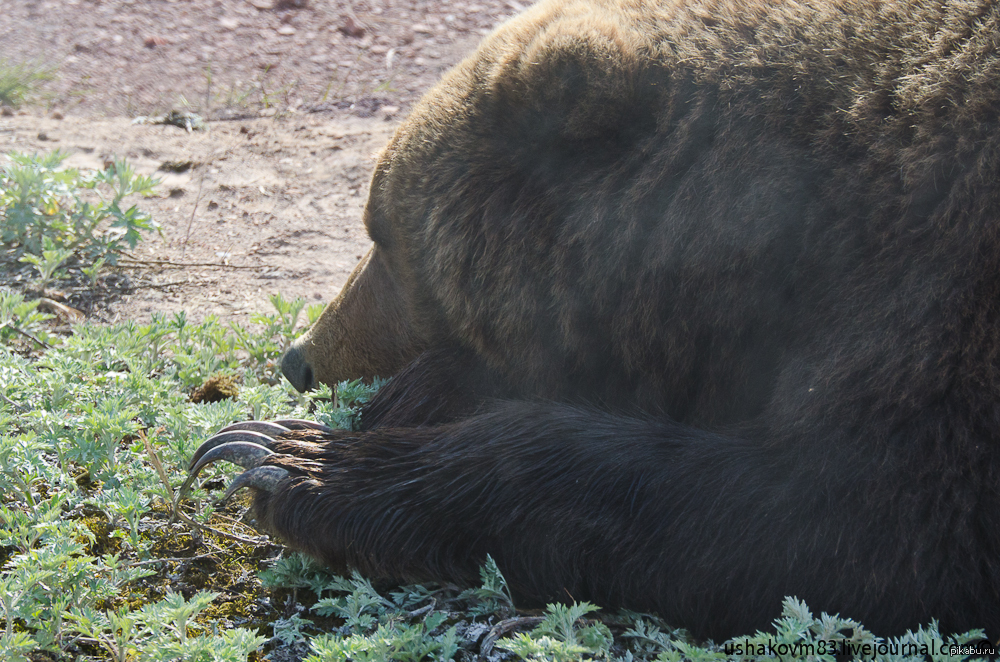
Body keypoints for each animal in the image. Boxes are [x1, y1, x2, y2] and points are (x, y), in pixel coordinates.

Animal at [191, 0, 996, 644]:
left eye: (378, 230)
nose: (300, 359)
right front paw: (389, 405)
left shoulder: (933, 310)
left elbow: (840, 521)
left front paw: (286, 461)